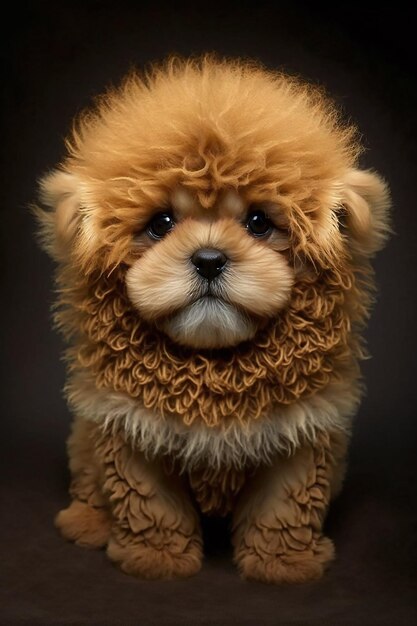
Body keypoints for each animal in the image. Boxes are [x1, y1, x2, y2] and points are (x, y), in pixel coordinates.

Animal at [35, 56, 390, 584]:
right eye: (160, 223)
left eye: (259, 222)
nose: (208, 259)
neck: (213, 368)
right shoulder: (131, 427)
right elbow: (150, 503)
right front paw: (156, 559)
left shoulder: (301, 432)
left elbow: (283, 507)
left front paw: (282, 564)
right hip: (84, 438)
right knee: (87, 480)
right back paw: (86, 522)